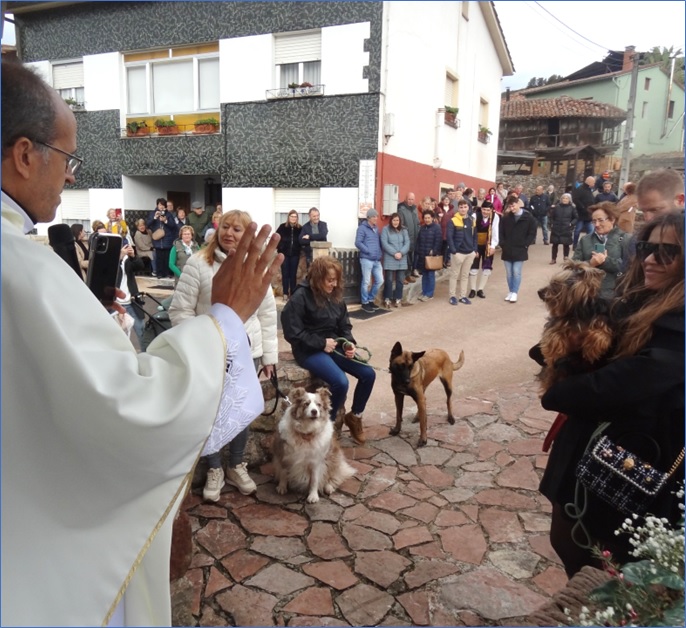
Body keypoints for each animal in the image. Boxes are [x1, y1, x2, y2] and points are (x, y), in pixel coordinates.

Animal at [536, 260, 616, 392]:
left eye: (555, 284)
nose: (539, 292)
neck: (577, 311)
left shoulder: (603, 319)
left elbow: (602, 332)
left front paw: (591, 349)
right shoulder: (555, 323)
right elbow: (553, 335)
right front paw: (555, 354)